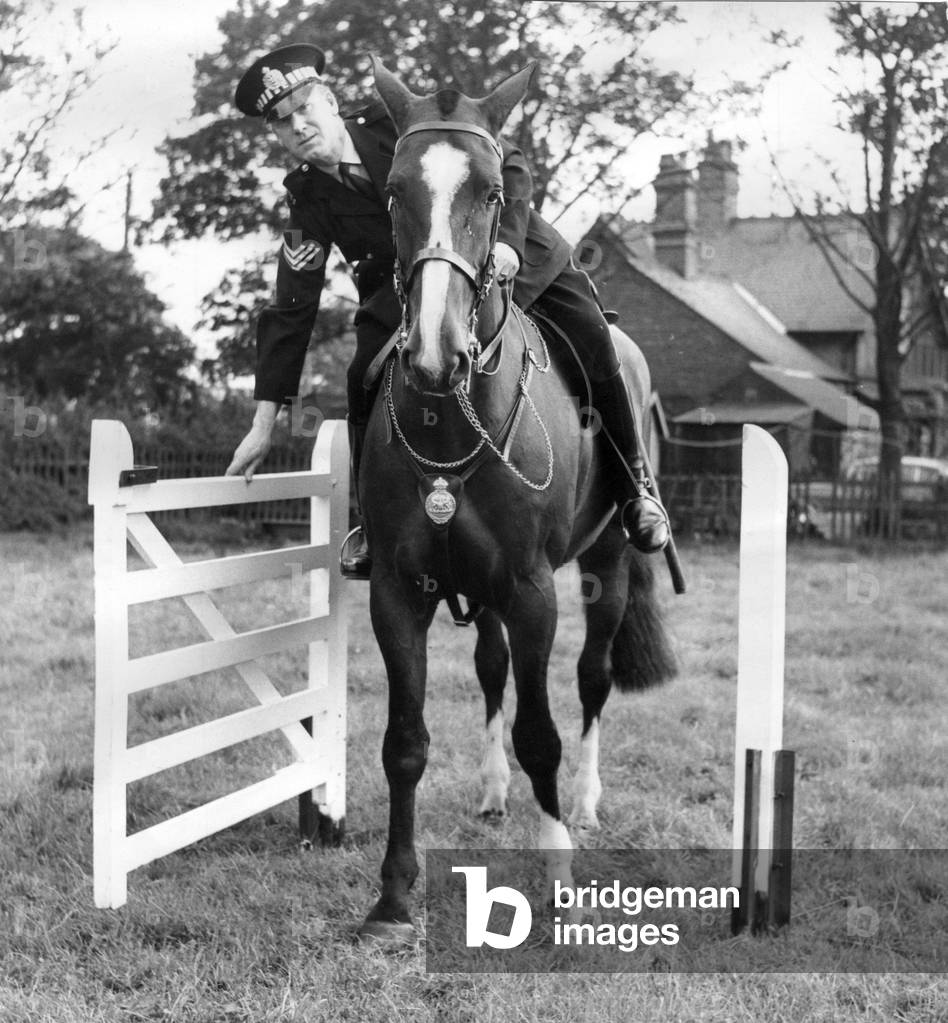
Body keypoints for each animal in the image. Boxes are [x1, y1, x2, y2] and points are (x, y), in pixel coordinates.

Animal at [357, 58, 677, 943]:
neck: (448, 413)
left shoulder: (535, 591)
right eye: (393, 189)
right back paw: (496, 790)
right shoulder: (398, 591)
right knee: (494, 671)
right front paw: (393, 897)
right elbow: (405, 741)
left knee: (593, 680)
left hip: (606, 562)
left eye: (495, 189)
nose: (435, 353)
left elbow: (543, 732)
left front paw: (559, 870)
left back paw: (587, 803)